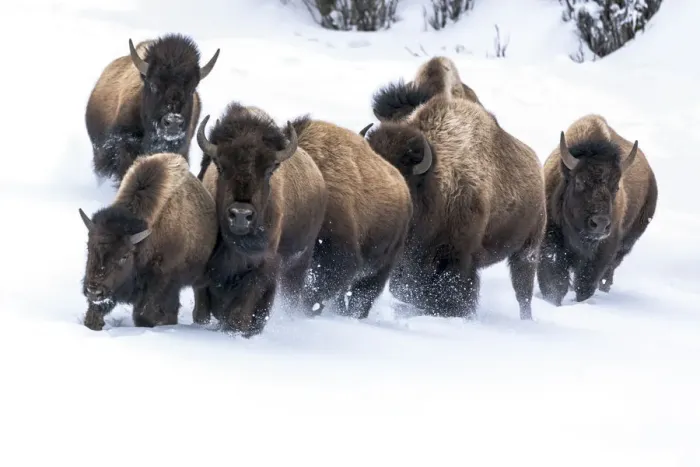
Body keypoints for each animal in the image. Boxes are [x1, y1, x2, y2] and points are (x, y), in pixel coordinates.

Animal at [537, 114, 658, 305]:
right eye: (579, 181)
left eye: (616, 186)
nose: (600, 224)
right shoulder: (550, 242)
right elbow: (555, 284)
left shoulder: (603, 250)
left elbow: (585, 285)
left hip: (627, 243)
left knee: (610, 270)